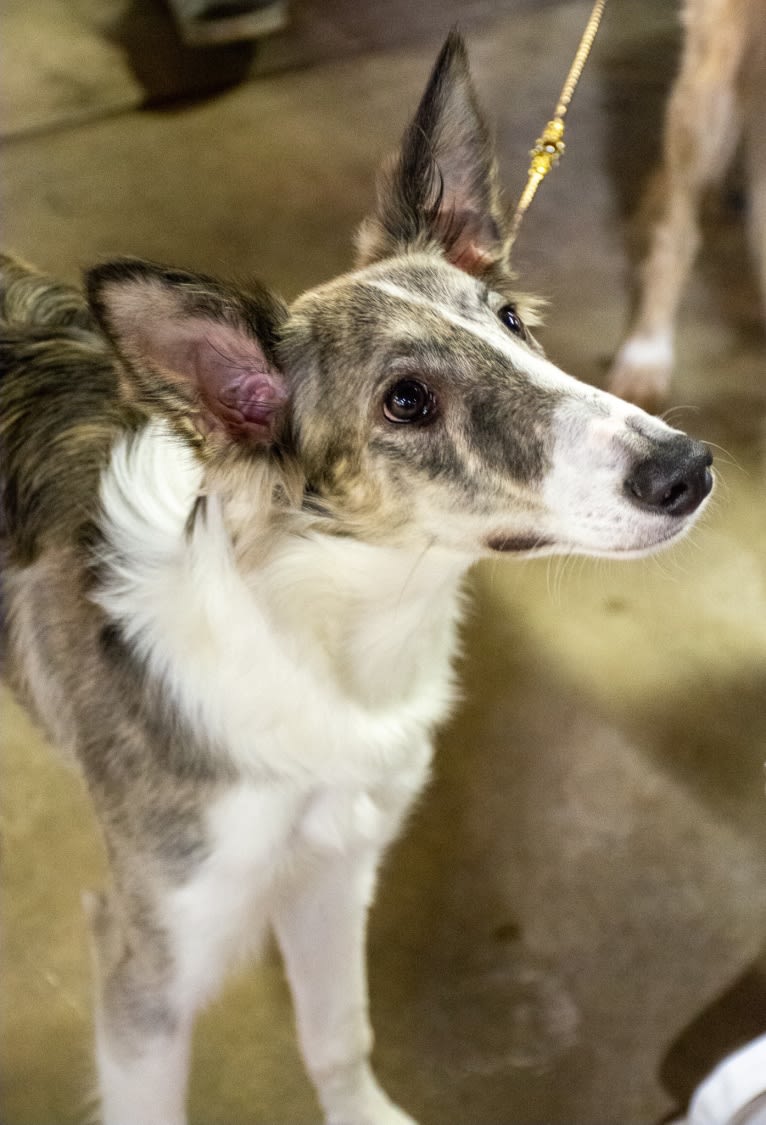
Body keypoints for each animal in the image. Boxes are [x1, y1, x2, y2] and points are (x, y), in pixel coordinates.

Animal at [2, 30, 715, 1125]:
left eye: (511, 320)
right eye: (407, 400)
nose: (686, 468)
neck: (325, 634)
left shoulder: (336, 864)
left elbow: (338, 1036)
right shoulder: (147, 960)